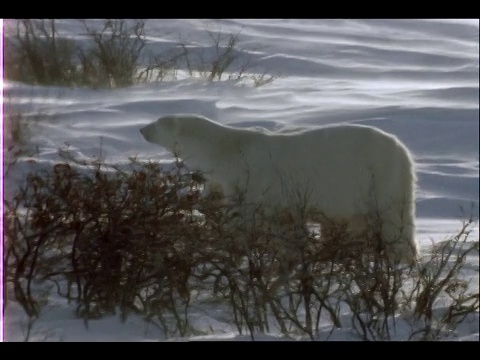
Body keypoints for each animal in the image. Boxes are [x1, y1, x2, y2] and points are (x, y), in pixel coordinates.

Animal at [141, 115, 418, 264]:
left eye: (157, 122)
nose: (142, 129)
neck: (227, 148)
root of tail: (403, 150)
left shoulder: (255, 178)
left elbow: (246, 219)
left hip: (381, 177)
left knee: (395, 221)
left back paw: (400, 260)